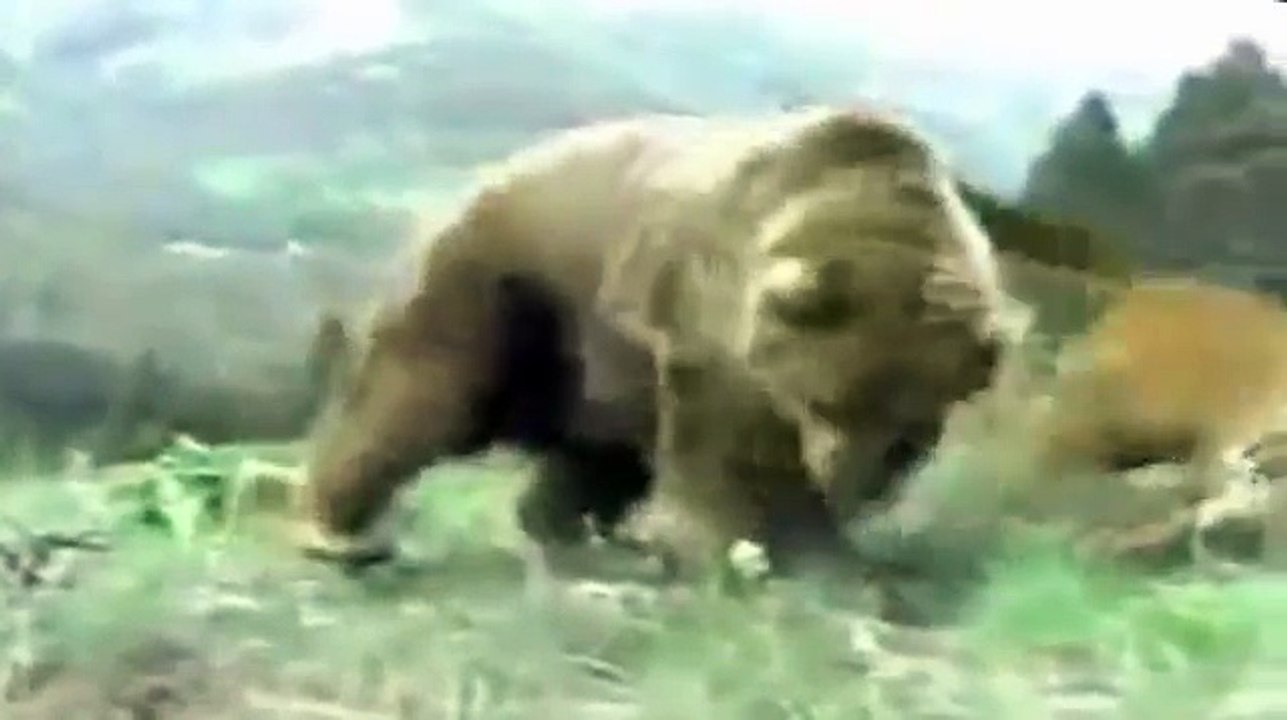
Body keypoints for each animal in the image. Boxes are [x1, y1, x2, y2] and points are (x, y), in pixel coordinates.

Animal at [296, 106, 1016, 575]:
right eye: (829, 402)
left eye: (911, 431)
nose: (852, 482)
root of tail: (471, 180)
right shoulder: (713, 318)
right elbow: (738, 452)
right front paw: (798, 556)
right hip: (514, 290)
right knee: (423, 395)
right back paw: (338, 532)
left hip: (603, 366)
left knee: (600, 456)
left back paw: (571, 532)